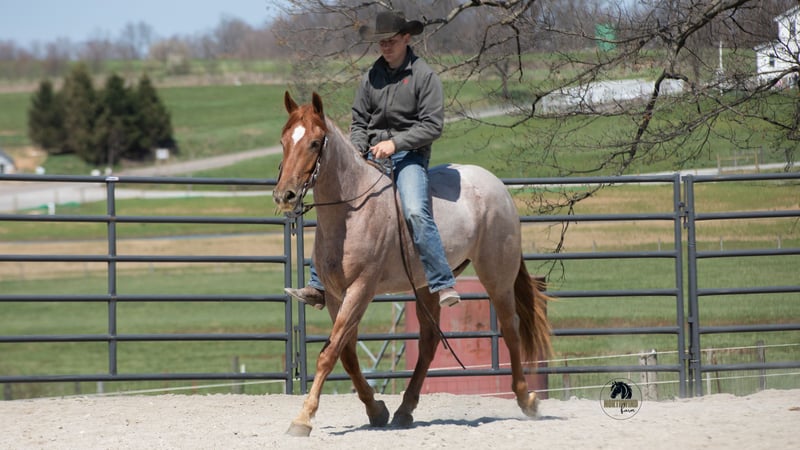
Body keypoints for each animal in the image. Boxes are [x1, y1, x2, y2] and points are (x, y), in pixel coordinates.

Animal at [273, 91, 552, 437]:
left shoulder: (361, 290)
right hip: (427, 287)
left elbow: (329, 354)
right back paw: (405, 410)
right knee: (429, 342)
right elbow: (345, 354)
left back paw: (527, 399)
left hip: (497, 276)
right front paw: (376, 409)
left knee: (510, 329)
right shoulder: (337, 296)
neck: (353, 210)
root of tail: (497, 186)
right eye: (284, 140)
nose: (284, 195)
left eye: (314, 142)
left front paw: (303, 418)